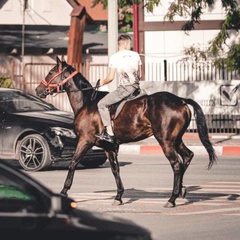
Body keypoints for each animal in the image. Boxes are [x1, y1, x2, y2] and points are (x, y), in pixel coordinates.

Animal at [35, 56, 218, 208]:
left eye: (51, 72)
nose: (38, 90)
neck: (87, 102)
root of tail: (181, 100)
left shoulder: (85, 141)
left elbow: (73, 163)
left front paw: (63, 191)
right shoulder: (109, 147)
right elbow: (115, 169)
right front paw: (118, 196)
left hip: (165, 141)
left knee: (176, 164)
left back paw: (172, 198)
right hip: (176, 140)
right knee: (187, 156)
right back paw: (181, 190)